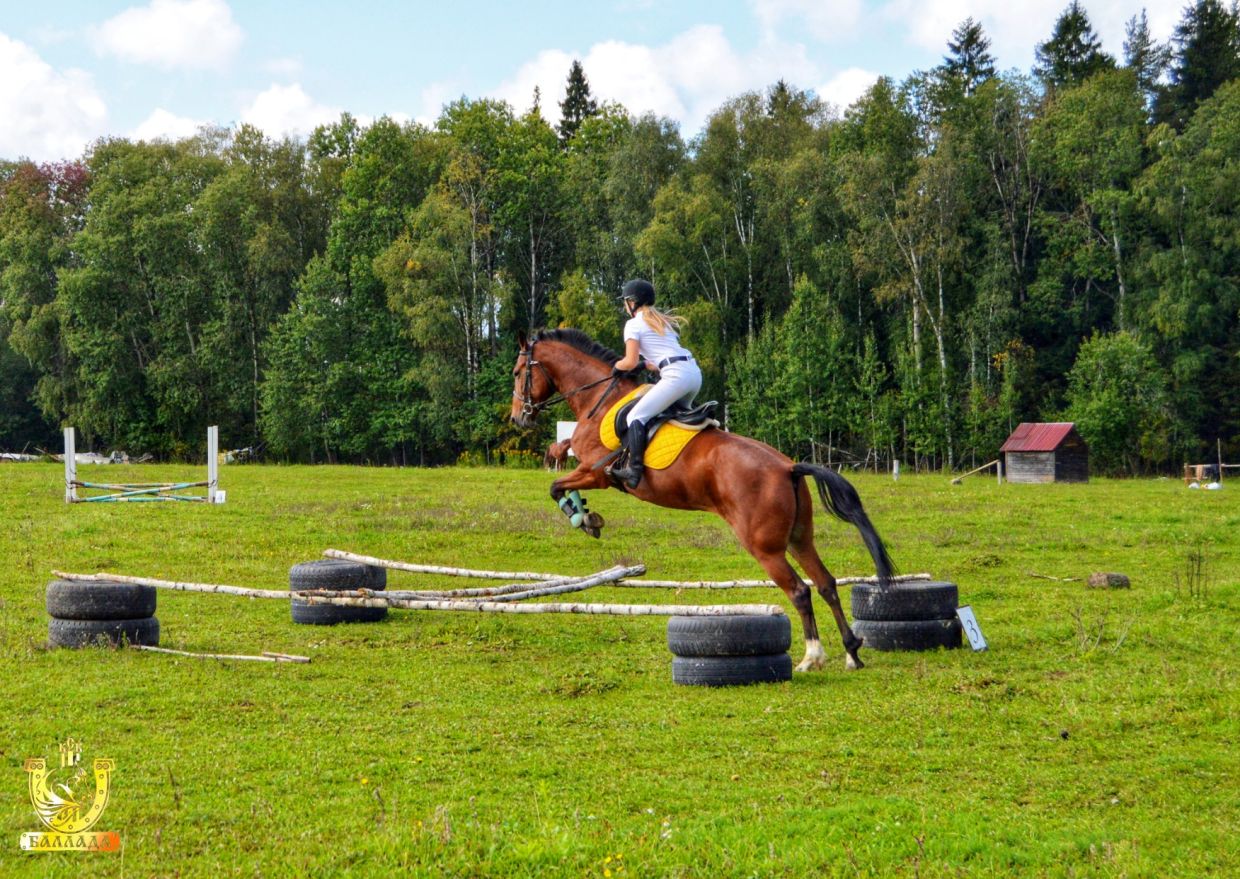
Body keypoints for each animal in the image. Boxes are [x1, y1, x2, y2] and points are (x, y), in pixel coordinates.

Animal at [508, 329, 897, 674]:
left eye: (517, 372)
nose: (518, 418)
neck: (598, 400)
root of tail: (788, 466)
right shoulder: (587, 468)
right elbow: (558, 470)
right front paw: (585, 514)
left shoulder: (595, 471)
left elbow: (556, 487)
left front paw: (583, 518)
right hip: (799, 538)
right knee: (827, 583)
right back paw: (852, 652)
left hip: (765, 547)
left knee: (800, 591)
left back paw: (812, 657)